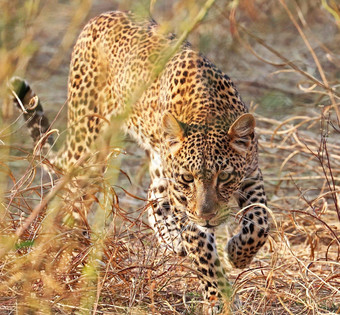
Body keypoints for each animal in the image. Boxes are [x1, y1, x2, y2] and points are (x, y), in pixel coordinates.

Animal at [10, 10, 270, 314]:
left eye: (225, 177)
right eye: (188, 178)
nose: (207, 216)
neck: (207, 111)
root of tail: (102, 15)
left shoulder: (252, 173)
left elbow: (260, 220)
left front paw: (237, 254)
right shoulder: (183, 197)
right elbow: (203, 252)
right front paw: (220, 298)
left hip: (153, 158)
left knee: (153, 195)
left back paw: (172, 240)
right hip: (91, 144)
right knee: (74, 196)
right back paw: (76, 251)